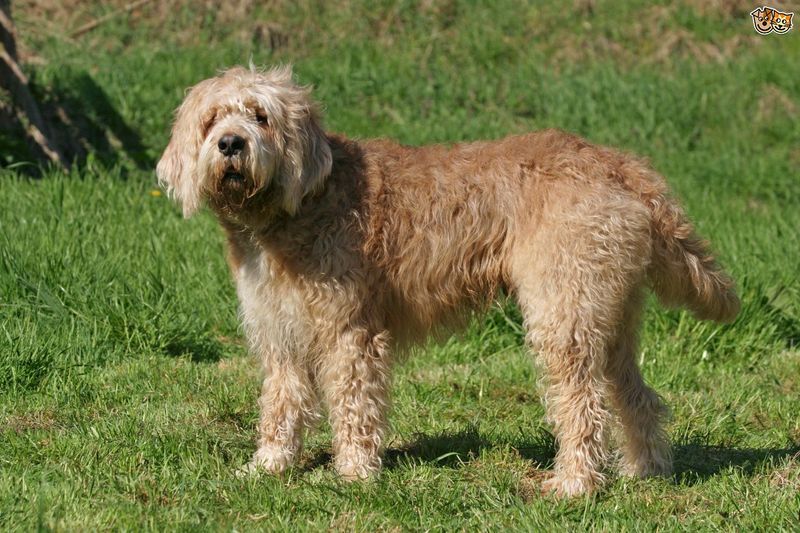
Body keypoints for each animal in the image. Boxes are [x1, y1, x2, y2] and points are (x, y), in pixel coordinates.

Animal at [159, 65, 740, 494]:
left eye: (261, 116)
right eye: (212, 120)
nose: (231, 144)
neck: (299, 203)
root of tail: (621, 164)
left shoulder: (351, 332)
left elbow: (353, 404)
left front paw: (353, 473)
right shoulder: (280, 332)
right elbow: (280, 405)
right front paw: (269, 466)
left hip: (562, 319)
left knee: (582, 404)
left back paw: (574, 484)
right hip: (608, 316)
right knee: (637, 397)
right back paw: (646, 471)